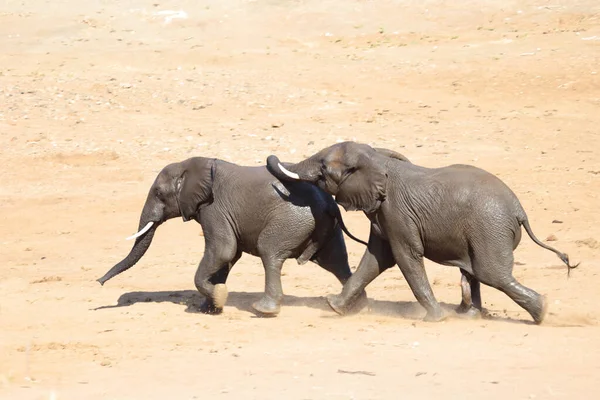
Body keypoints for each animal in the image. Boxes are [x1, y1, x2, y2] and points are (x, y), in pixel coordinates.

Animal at [96, 156, 368, 316]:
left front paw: (219, 297)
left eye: (159, 193)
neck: (194, 165)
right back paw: (355, 307)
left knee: (270, 253)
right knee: (336, 262)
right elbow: (228, 256)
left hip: (290, 221)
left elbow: (223, 250)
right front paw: (209, 308)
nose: (98, 282)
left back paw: (263, 310)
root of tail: (329, 203)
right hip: (325, 229)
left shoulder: (213, 208)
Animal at [266, 142, 576, 324]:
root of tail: (519, 211)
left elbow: (405, 257)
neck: (378, 158)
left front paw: (435, 319)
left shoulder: (396, 212)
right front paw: (333, 307)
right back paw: (470, 316)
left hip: (491, 228)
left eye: (323, 168)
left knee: (492, 273)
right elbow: (376, 259)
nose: (271, 157)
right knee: (476, 272)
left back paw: (542, 311)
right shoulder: (383, 214)